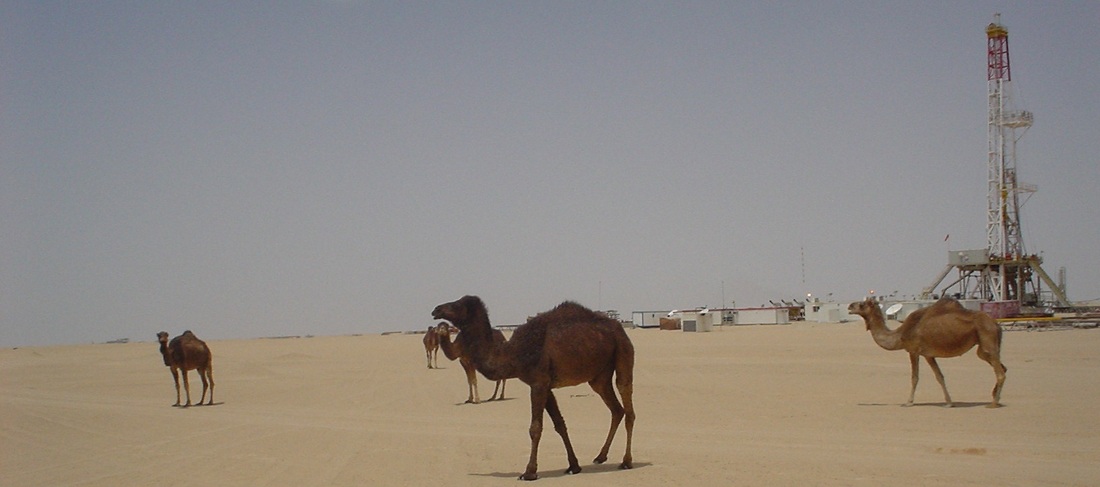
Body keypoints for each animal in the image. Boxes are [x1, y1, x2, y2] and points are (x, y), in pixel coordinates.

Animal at [431, 294, 638, 481]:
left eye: (457, 305)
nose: (436, 309)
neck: (514, 353)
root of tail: (620, 328)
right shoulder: (546, 385)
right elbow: (559, 424)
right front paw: (574, 466)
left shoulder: (538, 383)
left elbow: (535, 428)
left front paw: (529, 472)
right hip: (599, 377)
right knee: (616, 409)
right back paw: (600, 456)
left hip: (623, 351)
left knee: (627, 405)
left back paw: (626, 461)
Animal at [844, 296, 1007, 408]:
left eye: (862, 304)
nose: (850, 305)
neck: (900, 334)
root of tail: (995, 324)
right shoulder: (928, 354)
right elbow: (939, 376)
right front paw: (949, 403)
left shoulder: (913, 350)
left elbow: (914, 377)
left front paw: (908, 402)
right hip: (983, 347)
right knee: (1001, 367)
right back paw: (995, 397)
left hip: (987, 337)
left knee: (1000, 372)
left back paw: (993, 403)